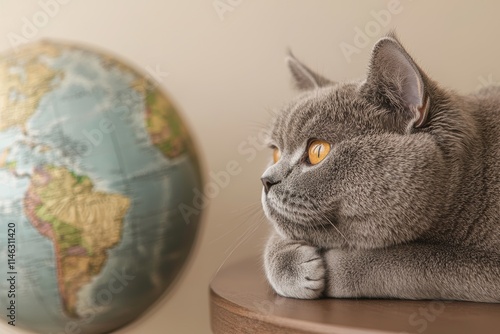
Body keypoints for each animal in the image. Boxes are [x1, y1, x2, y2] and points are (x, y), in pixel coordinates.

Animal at [264, 34, 498, 302]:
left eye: (318, 151)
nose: (265, 180)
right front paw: (287, 263)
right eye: (275, 153)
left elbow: (413, 260)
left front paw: (336, 266)